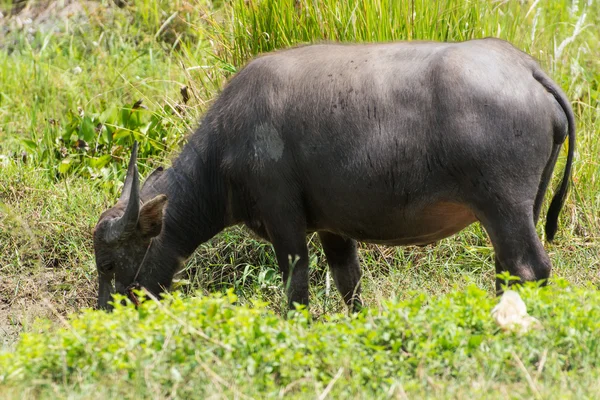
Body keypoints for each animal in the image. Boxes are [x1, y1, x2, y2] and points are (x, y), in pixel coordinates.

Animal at [91, 37, 576, 310]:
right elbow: (348, 283)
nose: (107, 312)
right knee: (507, 268)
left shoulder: (283, 220)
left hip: (503, 204)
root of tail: (527, 69)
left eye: (110, 263)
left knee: (529, 268)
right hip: (521, 209)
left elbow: (296, 288)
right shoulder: (332, 227)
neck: (225, 148)